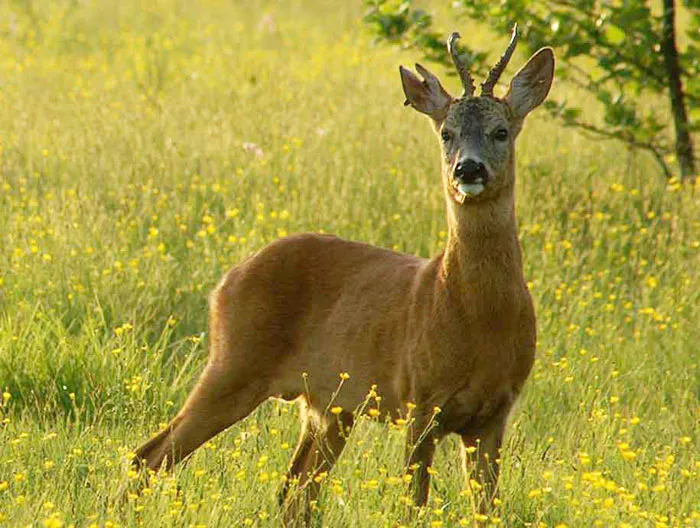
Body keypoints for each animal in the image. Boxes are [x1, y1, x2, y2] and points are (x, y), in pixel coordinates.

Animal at [134, 26, 556, 524]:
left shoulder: (494, 414)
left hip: (327, 406)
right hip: (234, 363)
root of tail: (225, 282)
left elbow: (486, 510)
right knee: (149, 456)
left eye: (501, 131)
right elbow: (412, 506)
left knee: (293, 492)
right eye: (446, 133)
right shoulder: (419, 399)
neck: (477, 317)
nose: (467, 168)